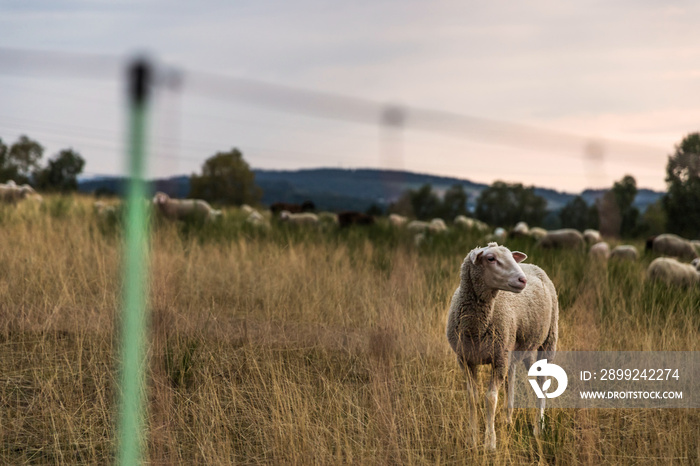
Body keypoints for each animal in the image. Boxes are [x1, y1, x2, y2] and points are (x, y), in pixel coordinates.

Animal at [448, 242, 556, 450]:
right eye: (491, 258)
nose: (522, 280)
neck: (476, 326)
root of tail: (532, 265)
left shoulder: (498, 359)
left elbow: (490, 398)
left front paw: (490, 443)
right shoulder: (465, 360)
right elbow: (472, 397)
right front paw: (472, 438)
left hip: (546, 342)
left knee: (541, 382)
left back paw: (538, 428)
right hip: (513, 350)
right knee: (511, 381)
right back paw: (508, 419)